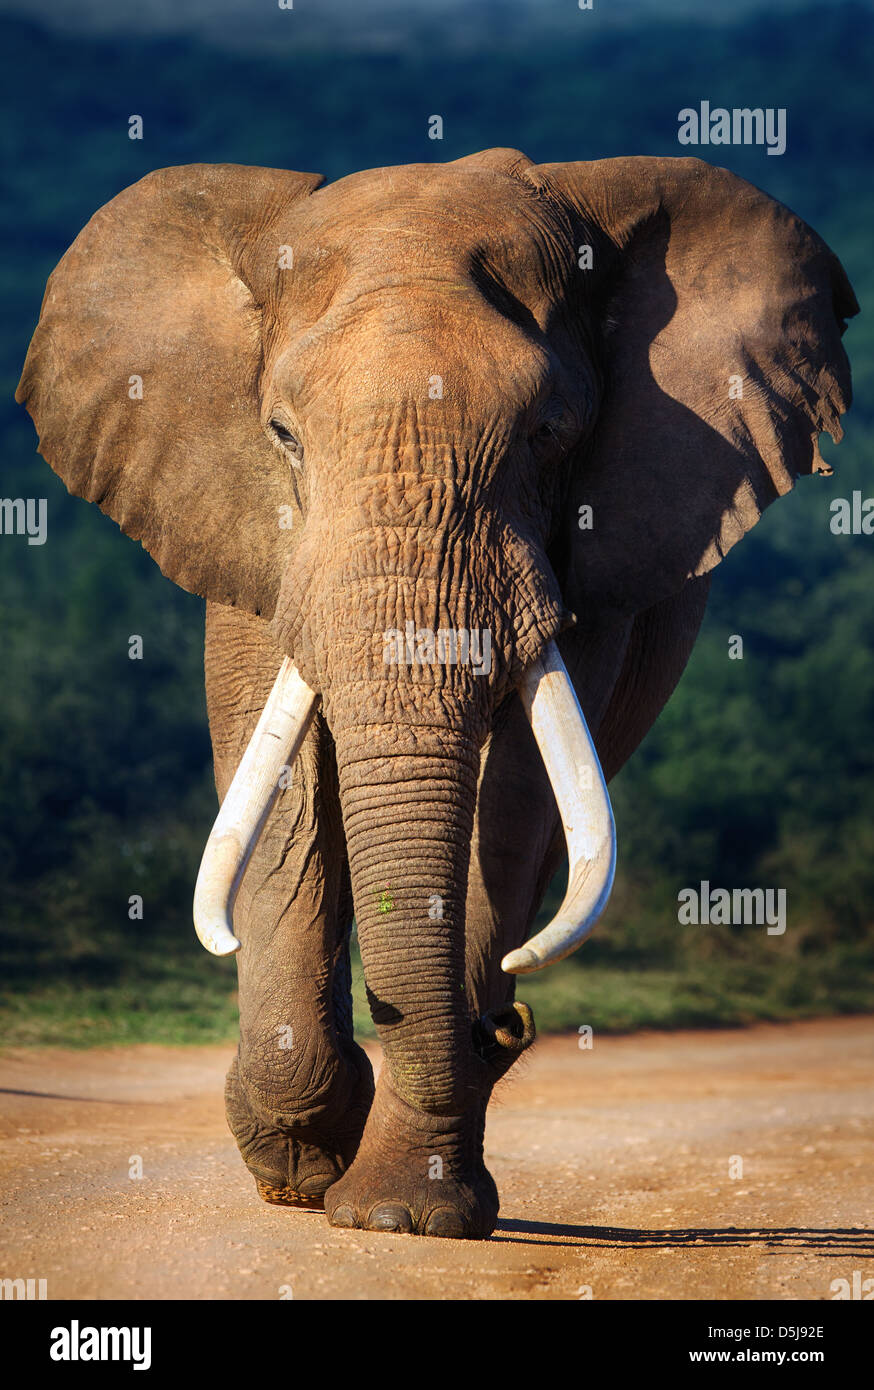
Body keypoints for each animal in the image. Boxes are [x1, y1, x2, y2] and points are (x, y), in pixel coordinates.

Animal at [17, 148, 856, 1240]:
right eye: (282, 434)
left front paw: (397, 1215)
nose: (505, 1024)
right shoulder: (247, 529)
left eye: (549, 433)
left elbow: (515, 798)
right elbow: (282, 779)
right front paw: (305, 1165)